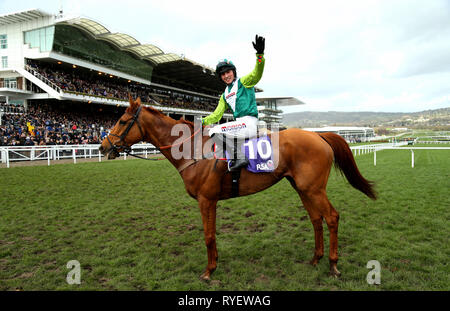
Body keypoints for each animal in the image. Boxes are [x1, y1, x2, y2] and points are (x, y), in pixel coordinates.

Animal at [99, 97, 376, 280]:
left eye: (122, 120)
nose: (103, 146)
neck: (193, 151)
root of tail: (318, 135)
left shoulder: (206, 199)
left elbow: (208, 236)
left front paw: (209, 271)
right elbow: (211, 235)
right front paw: (214, 264)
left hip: (314, 189)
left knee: (332, 217)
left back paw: (333, 265)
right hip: (303, 189)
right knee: (316, 219)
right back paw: (315, 259)